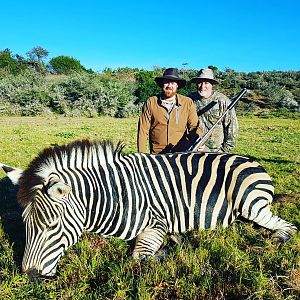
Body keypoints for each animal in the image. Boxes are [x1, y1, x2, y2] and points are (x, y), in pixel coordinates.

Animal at [0, 139, 296, 278]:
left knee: (287, 226)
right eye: (25, 226)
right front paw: (177, 241)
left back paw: (273, 241)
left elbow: (138, 257)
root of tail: (251, 160)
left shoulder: (157, 223)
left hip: (251, 204)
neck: (112, 195)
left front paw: (170, 247)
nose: (30, 276)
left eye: (51, 226)